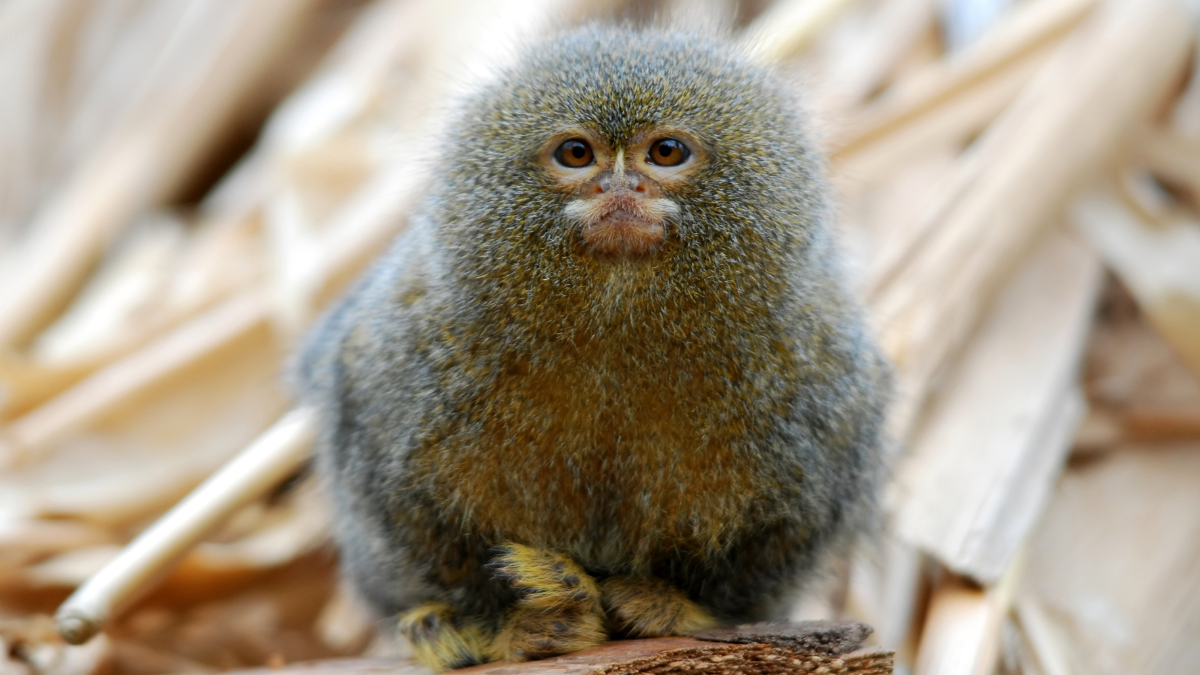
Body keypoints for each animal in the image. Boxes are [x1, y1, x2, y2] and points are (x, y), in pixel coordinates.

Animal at [293, 26, 891, 673]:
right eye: (577, 154)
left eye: (666, 152)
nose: (620, 189)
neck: (617, 332)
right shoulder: (391, 359)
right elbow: (409, 523)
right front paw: (506, 625)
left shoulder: (825, 386)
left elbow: (767, 554)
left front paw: (670, 606)